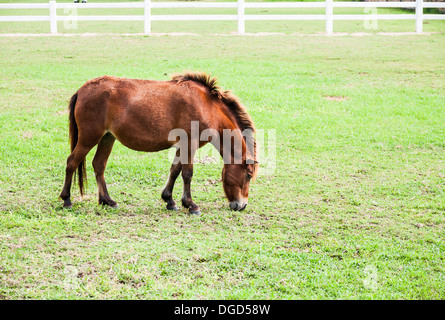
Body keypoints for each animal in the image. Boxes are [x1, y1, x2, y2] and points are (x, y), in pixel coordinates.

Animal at [60, 72, 258, 215]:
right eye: (248, 175)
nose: (242, 205)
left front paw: (169, 200)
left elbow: (175, 171)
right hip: (89, 138)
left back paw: (107, 201)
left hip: (107, 138)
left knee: (99, 165)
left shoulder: (181, 146)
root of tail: (82, 90)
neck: (206, 106)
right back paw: (67, 200)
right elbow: (187, 174)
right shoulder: (190, 144)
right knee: (72, 162)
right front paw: (191, 205)